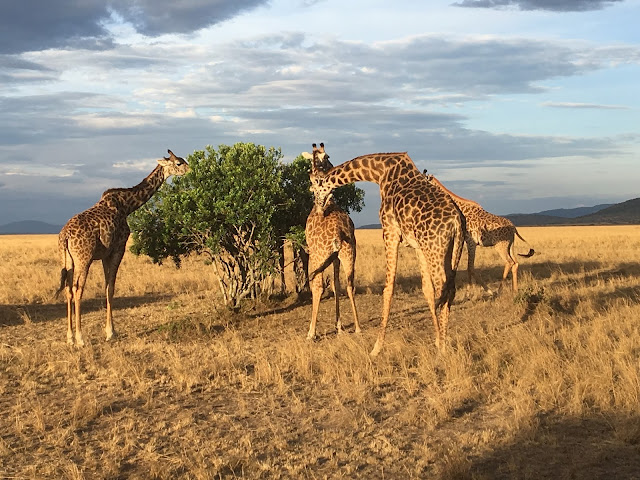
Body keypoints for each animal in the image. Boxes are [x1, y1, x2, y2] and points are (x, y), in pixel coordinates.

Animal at [56, 150, 190, 346]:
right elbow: (111, 288)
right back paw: (80, 338)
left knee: (68, 289)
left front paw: (108, 330)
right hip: (83, 258)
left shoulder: (106, 253)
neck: (127, 206)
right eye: (179, 163)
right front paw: (111, 332)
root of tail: (65, 236)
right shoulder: (119, 248)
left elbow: (107, 287)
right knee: (77, 289)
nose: (190, 169)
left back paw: (70, 337)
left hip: (67, 259)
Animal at [301, 143, 360, 340]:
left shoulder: (316, 253)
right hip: (349, 253)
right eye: (328, 157)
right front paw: (339, 326)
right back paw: (358, 328)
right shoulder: (335, 257)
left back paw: (311, 332)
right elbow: (336, 284)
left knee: (318, 286)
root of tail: (338, 232)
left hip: (318, 256)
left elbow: (321, 286)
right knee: (350, 285)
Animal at [309, 152, 465, 356]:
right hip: (452, 250)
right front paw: (438, 340)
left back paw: (443, 351)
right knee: (449, 290)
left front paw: (376, 348)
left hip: (435, 249)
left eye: (314, 183)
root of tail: (457, 222)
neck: (379, 171)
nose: (319, 208)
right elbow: (427, 291)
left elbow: (388, 288)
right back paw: (443, 345)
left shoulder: (389, 231)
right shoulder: (417, 246)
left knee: (444, 289)